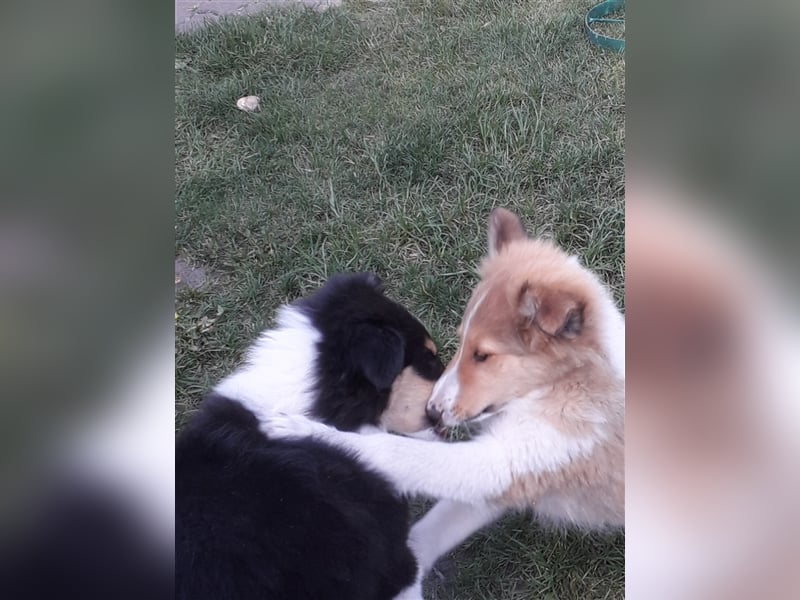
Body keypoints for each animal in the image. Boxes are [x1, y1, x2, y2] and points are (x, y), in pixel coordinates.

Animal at [266, 210, 628, 592]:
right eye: (462, 339)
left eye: (483, 355)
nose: (432, 410)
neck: (560, 385)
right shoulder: (501, 473)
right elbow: (430, 530)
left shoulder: (508, 462)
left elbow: (398, 452)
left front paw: (306, 430)